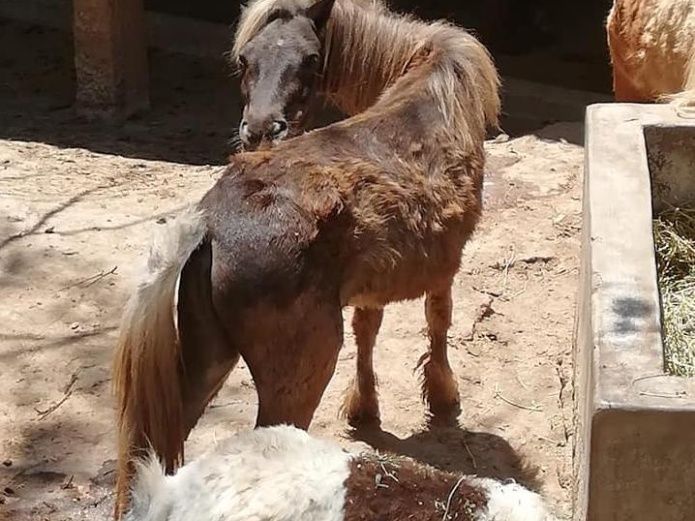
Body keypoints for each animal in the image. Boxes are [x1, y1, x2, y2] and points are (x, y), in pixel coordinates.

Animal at [111, 0, 500, 512]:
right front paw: (442, 396)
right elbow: (438, 322)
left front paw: (364, 407)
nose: (260, 129)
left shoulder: (371, 287)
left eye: (311, 58)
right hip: (296, 378)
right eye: (245, 59)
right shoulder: (446, 266)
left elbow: (367, 331)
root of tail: (208, 222)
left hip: (206, 362)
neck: (430, 79)